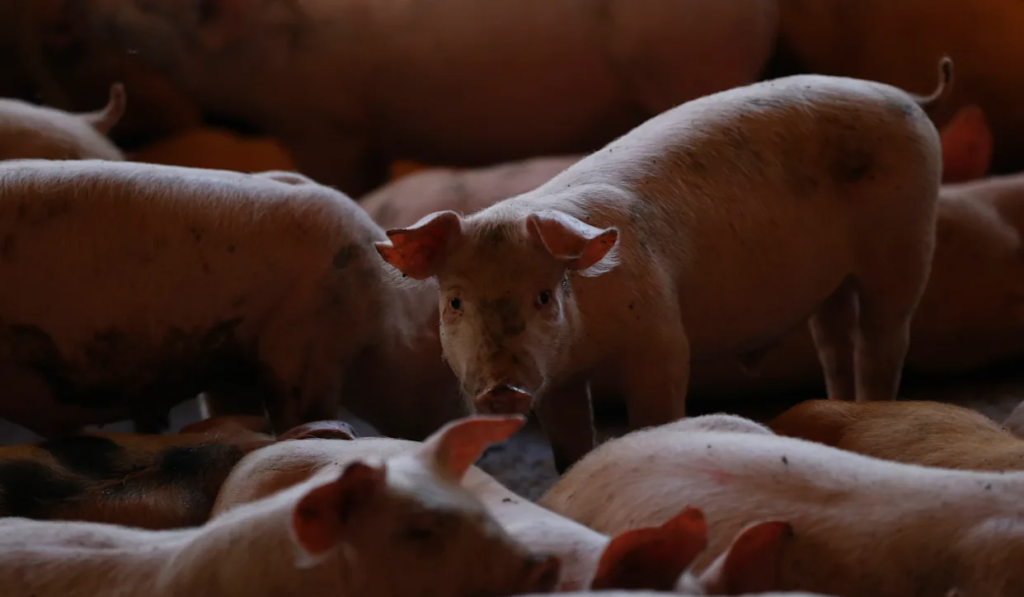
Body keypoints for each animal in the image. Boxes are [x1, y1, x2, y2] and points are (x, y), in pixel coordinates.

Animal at [0, 159, 463, 441]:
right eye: (444, 371)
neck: (386, 320)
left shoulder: (232, 365)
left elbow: (228, 408)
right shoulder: (303, 343)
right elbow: (302, 412)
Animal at [376, 60, 952, 471]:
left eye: (543, 295)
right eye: (454, 302)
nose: (501, 388)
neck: (590, 345)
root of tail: (905, 96)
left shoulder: (660, 335)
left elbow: (656, 410)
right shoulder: (558, 377)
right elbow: (568, 444)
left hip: (906, 242)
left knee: (883, 340)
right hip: (830, 284)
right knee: (834, 341)